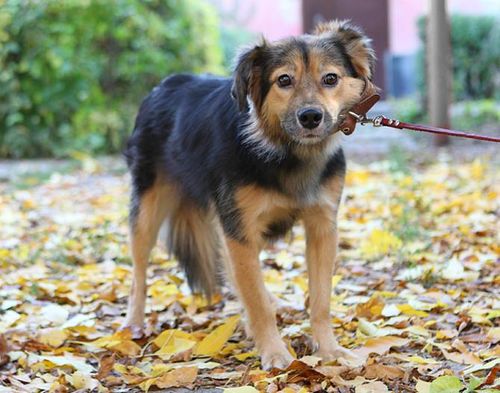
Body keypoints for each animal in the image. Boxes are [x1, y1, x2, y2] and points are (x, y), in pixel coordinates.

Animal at [124, 19, 376, 370]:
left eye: (331, 78)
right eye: (284, 80)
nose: (311, 117)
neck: (284, 152)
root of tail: (163, 86)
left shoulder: (322, 227)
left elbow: (320, 300)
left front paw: (329, 349)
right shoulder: (240, 230)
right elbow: (256, 301)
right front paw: (275, 352)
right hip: (148, 209)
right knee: (139, 273)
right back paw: (133, 323)